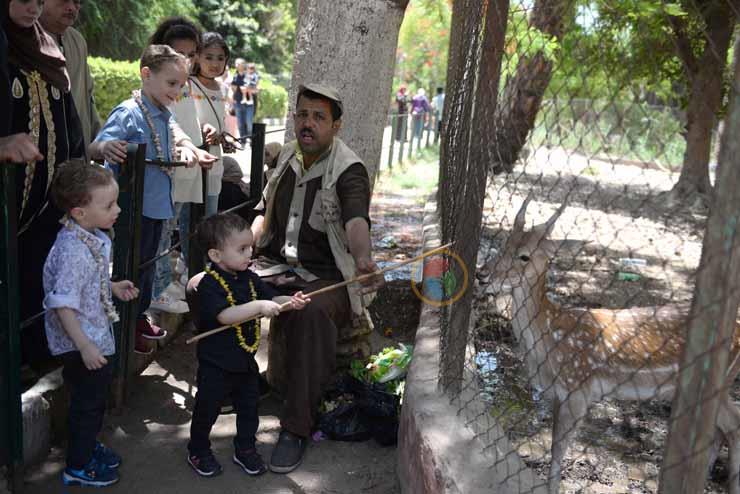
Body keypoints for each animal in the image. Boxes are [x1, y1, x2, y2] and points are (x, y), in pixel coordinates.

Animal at [482, 193, 740, 494]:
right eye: (503, 244)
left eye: (524, 256)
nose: (482, 274)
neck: (548, 341)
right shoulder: (559, 393)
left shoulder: (577, 388)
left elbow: (558, 450)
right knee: (721, 429)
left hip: (716, 381)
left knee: (732, 426)